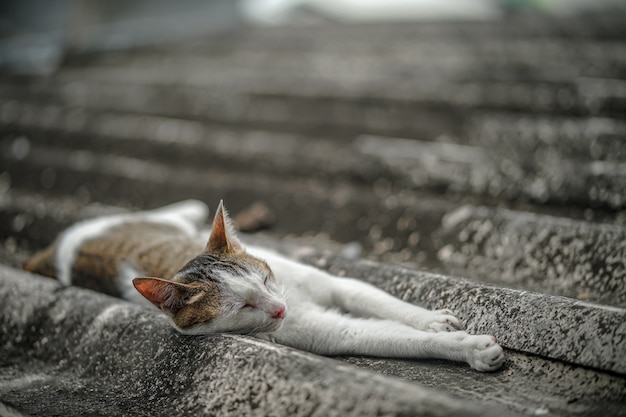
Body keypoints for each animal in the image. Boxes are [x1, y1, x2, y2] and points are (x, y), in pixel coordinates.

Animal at [23, 198, 502, 370]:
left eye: (266, 279)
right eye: (242, 308)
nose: (280, 308)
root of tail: (59, 247)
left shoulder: (333, 284)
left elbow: (376, 298)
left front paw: (433, 320)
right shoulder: (332, 331)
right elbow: (389, 335)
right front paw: (469, 348)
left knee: (184, 210)